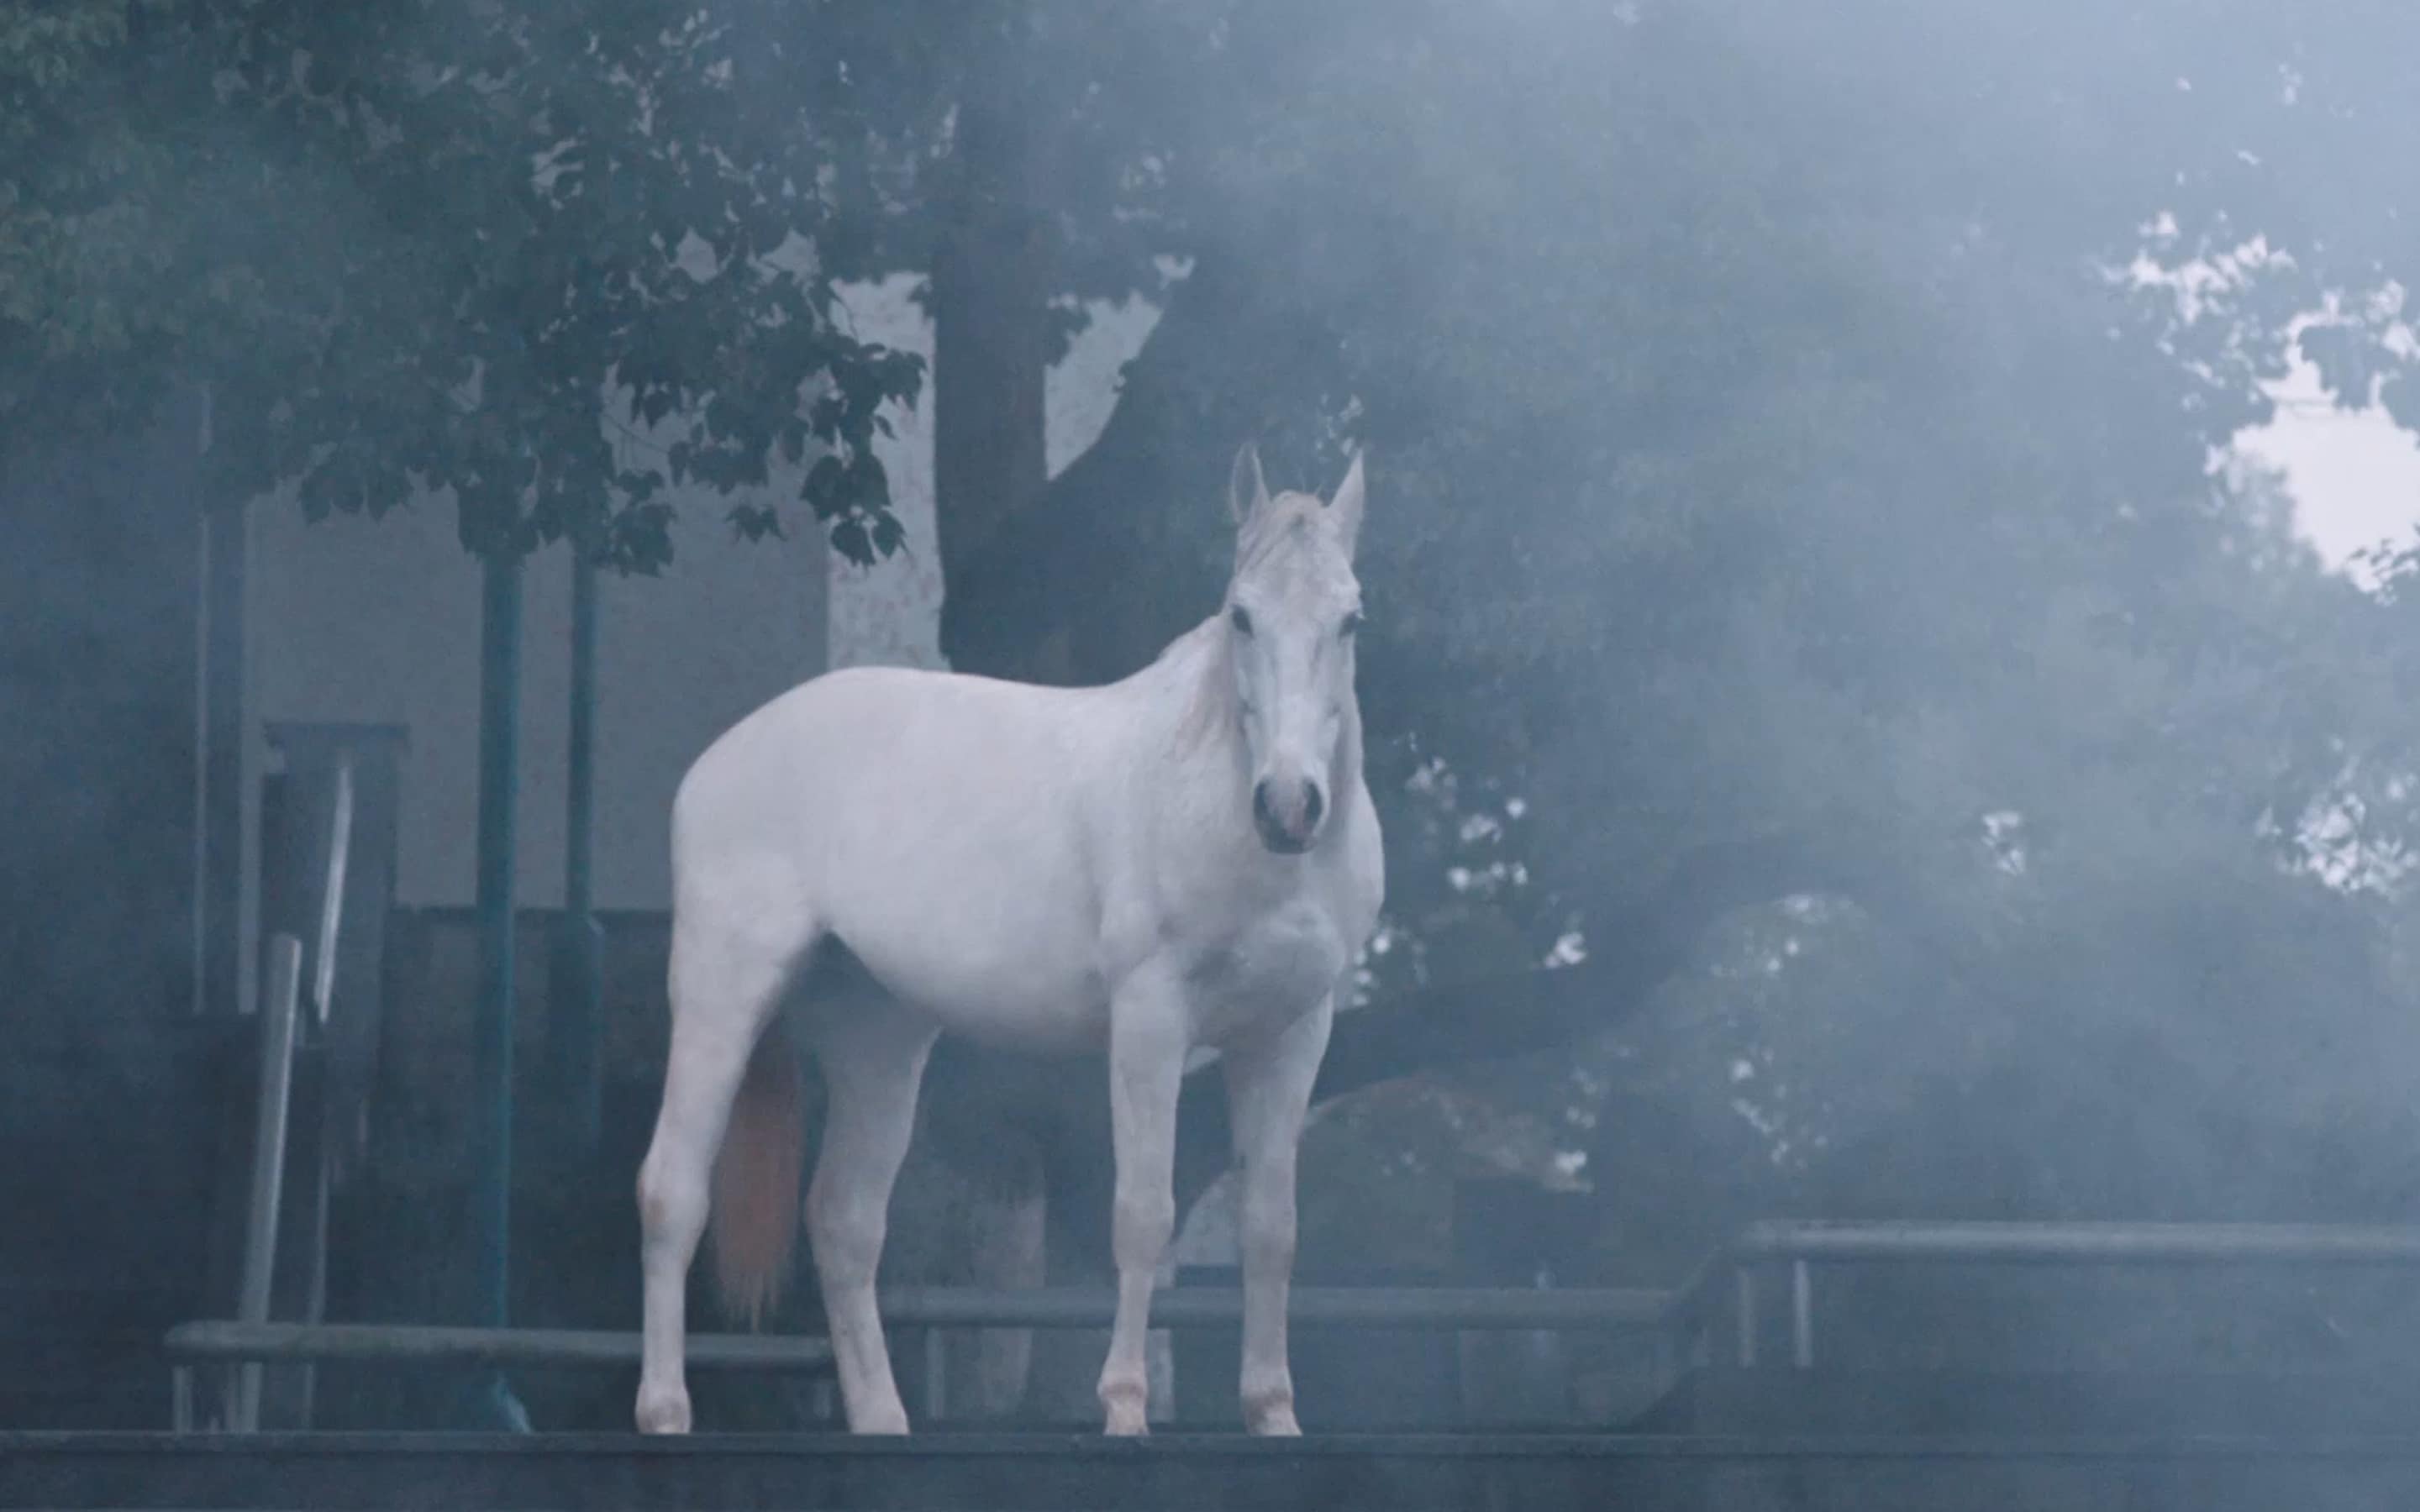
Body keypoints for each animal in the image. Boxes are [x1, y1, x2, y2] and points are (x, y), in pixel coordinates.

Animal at [631, 442, 1385, 1436]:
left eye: (1350, 619)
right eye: (1241, 615)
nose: (1291, 806)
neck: (1217, 801)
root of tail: (720, 759)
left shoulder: (1293, 1033)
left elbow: (1272, 1228)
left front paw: (1274, 1414)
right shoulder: (1151, 1020)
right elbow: (1142, 1214)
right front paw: (1124, 1408)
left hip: (878, 1033)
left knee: (844, 1221)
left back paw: (882, 1418)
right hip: (724, 993)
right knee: (672, 1189)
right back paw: (665, 1412)